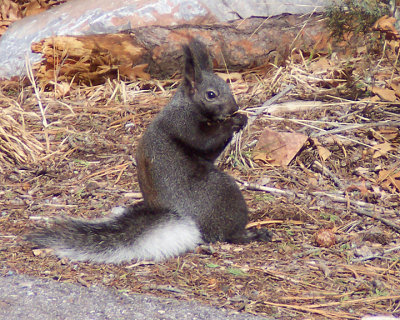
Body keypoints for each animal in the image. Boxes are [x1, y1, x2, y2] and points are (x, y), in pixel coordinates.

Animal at [25, 38, 272, 264]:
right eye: (211, 94)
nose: (234, 108)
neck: (187, 105)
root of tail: (181, 216)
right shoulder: (182, 123)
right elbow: (204, 141)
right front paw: (235, 121)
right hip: (222, 195)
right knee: (227, 234)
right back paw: (251, 234)